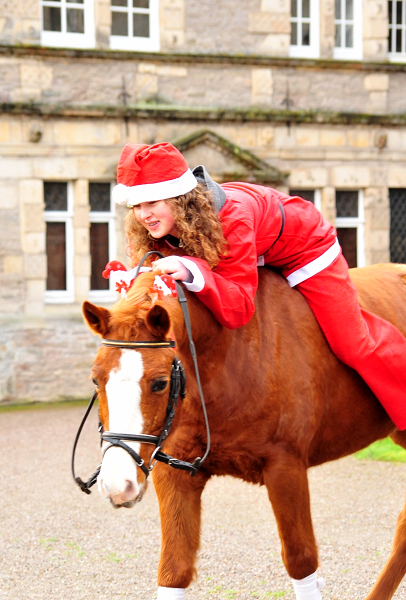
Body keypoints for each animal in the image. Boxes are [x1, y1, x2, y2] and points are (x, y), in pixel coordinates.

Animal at [81, 264, 406, 600]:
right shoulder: (175, 474)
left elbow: (301, 559)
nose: (118, 482)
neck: (220, 359)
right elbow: (174, 569)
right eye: (95, 379)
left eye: (160, 382)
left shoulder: (285, 468)